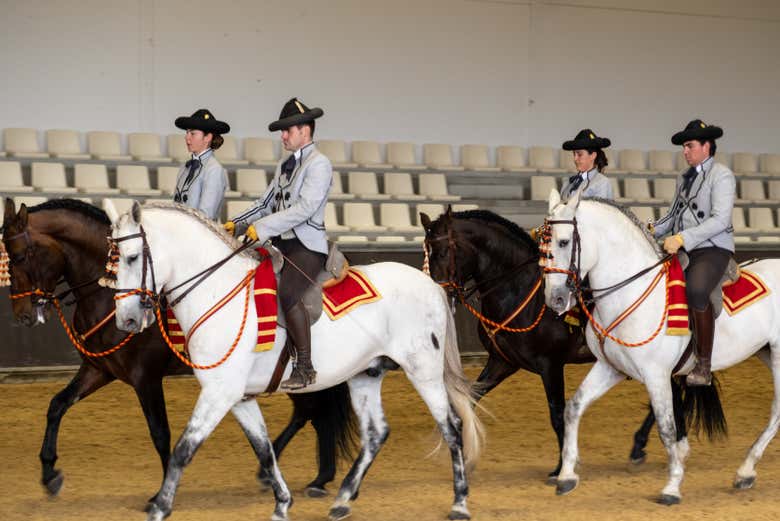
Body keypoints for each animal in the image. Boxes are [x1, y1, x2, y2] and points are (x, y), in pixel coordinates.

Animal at [2, 198, 356, 504]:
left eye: (19, 256)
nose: (22, 315)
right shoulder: (99, 369)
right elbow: (57, 405)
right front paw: (50, 474)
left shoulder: (145, 377)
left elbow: (160, 432)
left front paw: (162, 492)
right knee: (313, 411)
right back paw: (314, 477)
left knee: (312, 410)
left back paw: (304, 475)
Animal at [106, 202, 484, 520]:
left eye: (132, 257)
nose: (125, 320)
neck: (218, 291)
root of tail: (431, 285)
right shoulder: (240, 398)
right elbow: (263, 450)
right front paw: (282, 503)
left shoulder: (219, 393)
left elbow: (184, 448)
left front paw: (160, 506)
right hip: (366, 374)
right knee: (376, 433)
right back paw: (342, 499)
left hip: (424, 371)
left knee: (451, 427)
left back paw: (459, 503)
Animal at [420, 208, 688, 480]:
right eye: (427, 251)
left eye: (443, 251)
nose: (437, 293)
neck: (520, 290)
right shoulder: (502, 362)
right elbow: (469, 400)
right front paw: (463, 457)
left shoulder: (550, 365)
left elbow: (557, 414)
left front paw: (561, 467)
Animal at [544, 190, 780, 504]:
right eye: (543, 243)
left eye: (563, 242)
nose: (554, 299)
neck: (631, 291)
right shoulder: (610, 368)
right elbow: (573, 407)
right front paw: (567, 476)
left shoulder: (656, 375)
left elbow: (667, 428)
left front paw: (672, 486)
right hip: (764, 351)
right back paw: (745, 472)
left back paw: (745, 470)